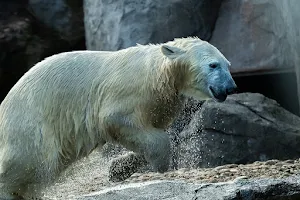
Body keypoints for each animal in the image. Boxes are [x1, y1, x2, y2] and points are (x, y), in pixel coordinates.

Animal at [0, 37, 237, 198]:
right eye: (213, 65)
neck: (159, 71)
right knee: (31, 162)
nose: (231, 87)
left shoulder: (160, 101)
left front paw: (118, 168)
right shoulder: (131, 90)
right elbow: (116, 119)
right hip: (32, 124)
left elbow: (151, 131)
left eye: (227, 64)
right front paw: (161, 164)